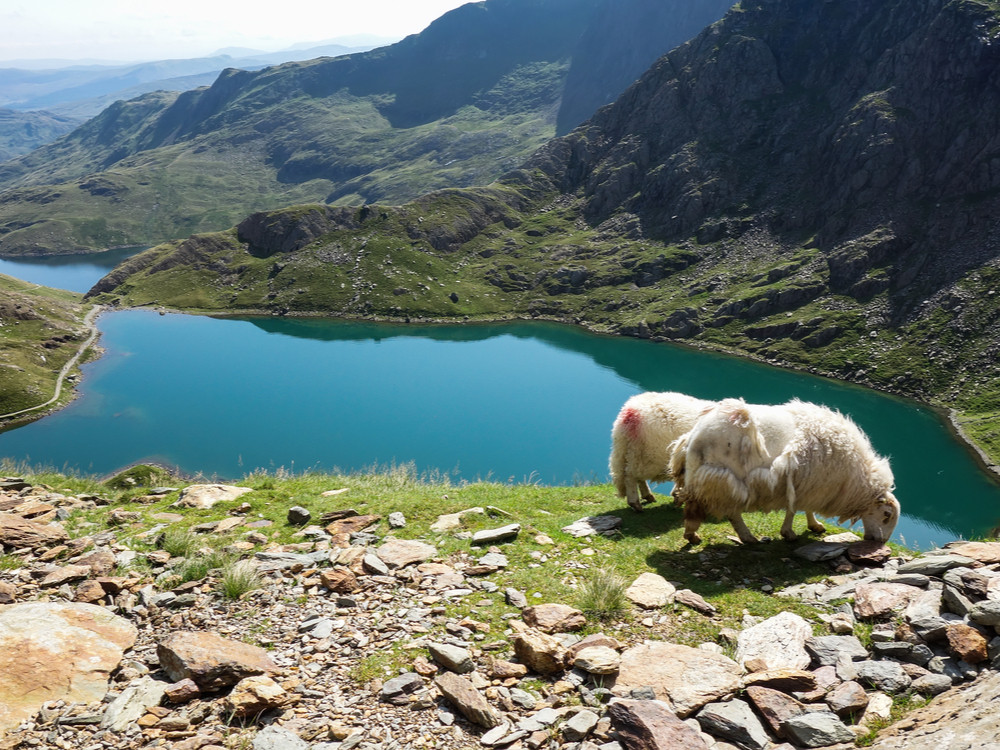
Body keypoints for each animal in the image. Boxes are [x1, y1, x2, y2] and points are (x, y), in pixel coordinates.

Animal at [668, 400, 904, 548]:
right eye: (886, 515)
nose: (880, 542)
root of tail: (694, 436)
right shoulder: (806, 484)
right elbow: (793, 510)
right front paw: (789, 533)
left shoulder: (813, 484)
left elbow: (806, 509)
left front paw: (814, 525)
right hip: (724, 479)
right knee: (728, 512)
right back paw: (731, 536)